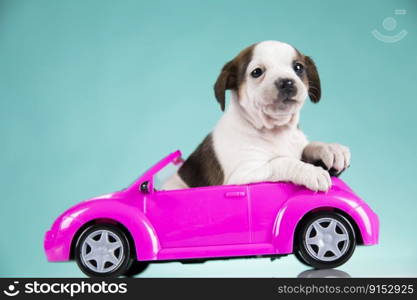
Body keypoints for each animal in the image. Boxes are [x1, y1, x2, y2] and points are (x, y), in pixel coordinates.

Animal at [162, 39, 348, 191]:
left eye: (298, 68)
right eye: (257, 72)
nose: (287, 82)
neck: (277, 131)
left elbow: (307, 147)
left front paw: (330, 148)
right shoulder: (243, 175)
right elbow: (281, 161)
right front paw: (310, 171)